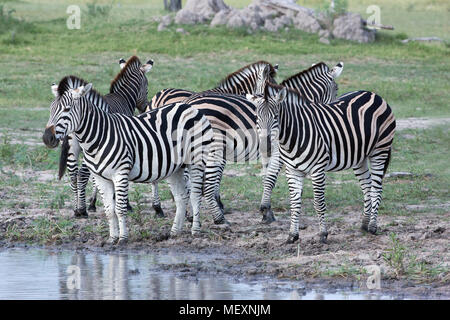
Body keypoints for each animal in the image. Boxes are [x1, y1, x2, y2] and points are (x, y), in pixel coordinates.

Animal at [41, 79, 214, 244]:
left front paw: (123, 238)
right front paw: (112, 238)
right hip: (175, 168)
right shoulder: (100, 178)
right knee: (181, 197)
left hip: (196, 160)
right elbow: (109, 211)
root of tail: (188, 107)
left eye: (66, 109)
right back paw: (174, 232)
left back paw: (195, 231)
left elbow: (120, 209)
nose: (47, 138)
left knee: (195, 195)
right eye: (51, 109)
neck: (98, 137)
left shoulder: (120, 174)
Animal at [52, 56, 154, 219]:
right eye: (147, 85)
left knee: (73, 174)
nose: (144, 107)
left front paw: (95, 202)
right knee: (82, 175)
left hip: (72, 148)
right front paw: (124, 203)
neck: (123, 97)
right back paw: (82, 210)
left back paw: (76, 208)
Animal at [250, 66, 398, 244]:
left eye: (276, 117)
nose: (266, 146)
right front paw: (292, 235)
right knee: (367, 186)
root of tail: (373, 94)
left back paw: (372, 227)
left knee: (376, 187)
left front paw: (323, 234)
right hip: (359, 157)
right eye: (257, 117)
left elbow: (319, 203)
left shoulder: (317, 169)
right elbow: (294, 203)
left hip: (380, 150)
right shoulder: (292, 171)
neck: (292, 135)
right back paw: (364, 223)